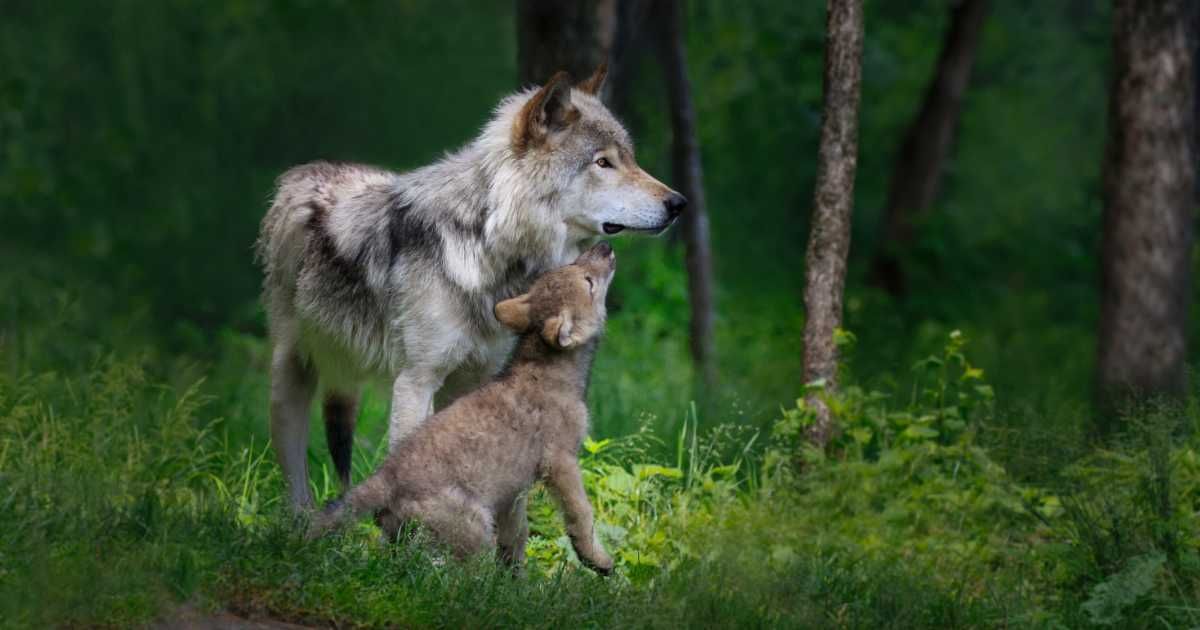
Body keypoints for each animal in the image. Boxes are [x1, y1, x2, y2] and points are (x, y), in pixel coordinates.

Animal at [257, 65, 685, 511]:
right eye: (603, 163)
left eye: (630, 159)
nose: (679, 203)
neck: (486, 243)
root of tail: (304, 172)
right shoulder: (416, 382)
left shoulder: (476, 380)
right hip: (290, 379)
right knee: (296, 476)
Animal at [308, 243, 618, 575]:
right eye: (588, 282)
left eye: (573, 265)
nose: (605, 247)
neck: (548, 368)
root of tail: (387, 475)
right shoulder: (560, 462)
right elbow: (581, 515)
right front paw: (598, 560)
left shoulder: (513, 491)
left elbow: (516, 535)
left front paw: (514, 580)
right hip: (475, 527)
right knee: (452, 575)